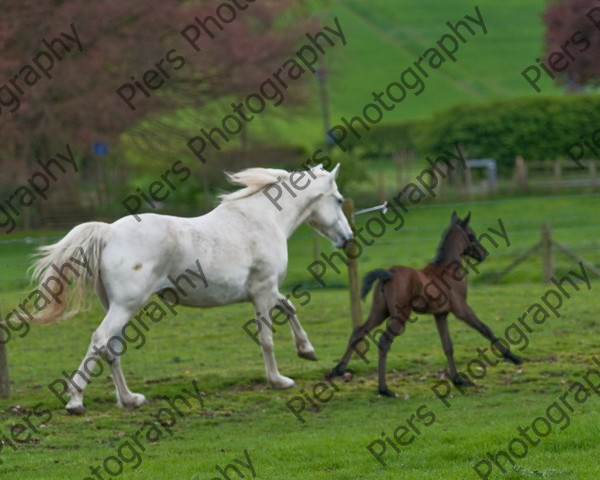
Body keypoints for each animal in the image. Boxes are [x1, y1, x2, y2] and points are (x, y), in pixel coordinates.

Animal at [30, 164, 354, 412]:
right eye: (339, 200)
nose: (348, 239)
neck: (264, 220)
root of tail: (109, 231)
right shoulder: (263, 292)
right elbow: (267, 339)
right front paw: (279, 380)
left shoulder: (268, 291)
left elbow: (289, 307)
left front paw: (307, 350)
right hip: (126, 306)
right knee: (100, 340)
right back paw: (76, 401)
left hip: (116, 307)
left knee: (112, 348)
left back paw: (130, 399)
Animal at [328, 211, 520, 398]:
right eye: (471, 235)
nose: (483, 253)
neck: (448, 269)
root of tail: (388, 273)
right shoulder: (461, 309)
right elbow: (485, 328)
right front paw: (513, 357)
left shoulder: (440, 314)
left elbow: (447, 345)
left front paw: (458, 379)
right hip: (400, 315)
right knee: (383, 342)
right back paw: (384, 389)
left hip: (379, 312)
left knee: (358, 331)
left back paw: (338, 369)